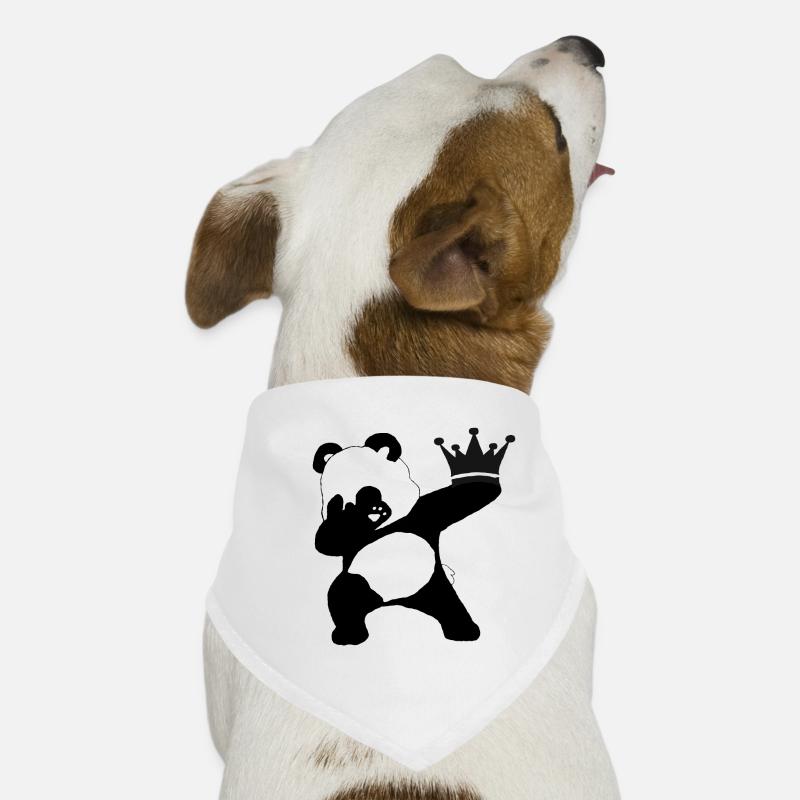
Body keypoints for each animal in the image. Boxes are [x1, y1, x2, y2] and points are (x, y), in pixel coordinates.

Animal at [313, 429, 513, 645]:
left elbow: (467, 495)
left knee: (450, 606)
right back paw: (349, 634)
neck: (386, 527)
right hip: (362, 583)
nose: (352, 510)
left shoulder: (424, 514)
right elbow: (327, 542)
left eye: (367, 493)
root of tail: (392, 601)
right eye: (334, 504)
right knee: (344, 596)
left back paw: (464, 630)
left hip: (433, 585)